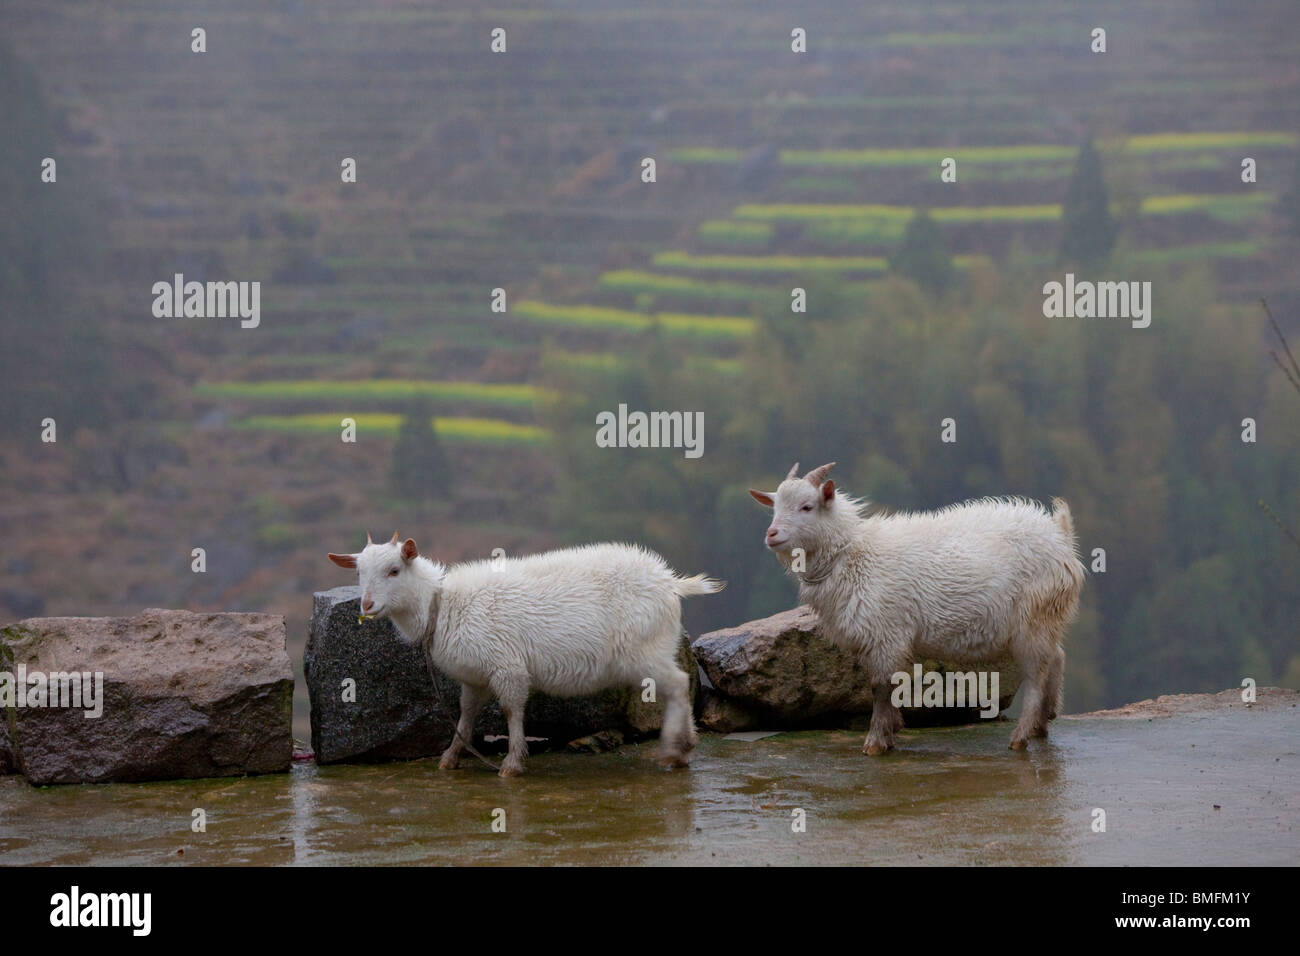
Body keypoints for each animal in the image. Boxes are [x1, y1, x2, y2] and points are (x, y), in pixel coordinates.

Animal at [327, 535, 722, 775]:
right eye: (358, 572)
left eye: (394, 570)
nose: (367, 605)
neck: (442, 605)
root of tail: (671, 582)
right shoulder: (475, 677)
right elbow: (466, 715)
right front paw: (451, 757)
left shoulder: (506, 666)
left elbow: (511, 709)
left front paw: (513, 763)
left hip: (645, 649)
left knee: (678, 684)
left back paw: (678, 748)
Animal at [754, 463, 1086, 754]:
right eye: (774, 507)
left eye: (807, 507)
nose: (771, 535)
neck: (852, 554)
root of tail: (1061, 535)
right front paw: (891, 731)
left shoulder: (886, 635)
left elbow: (879, 687)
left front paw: (876, 742)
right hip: (1047, 618)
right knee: (1057, 657)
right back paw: (1043, 723)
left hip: (1034, 618)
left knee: (1036, 676)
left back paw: (1021, 736)